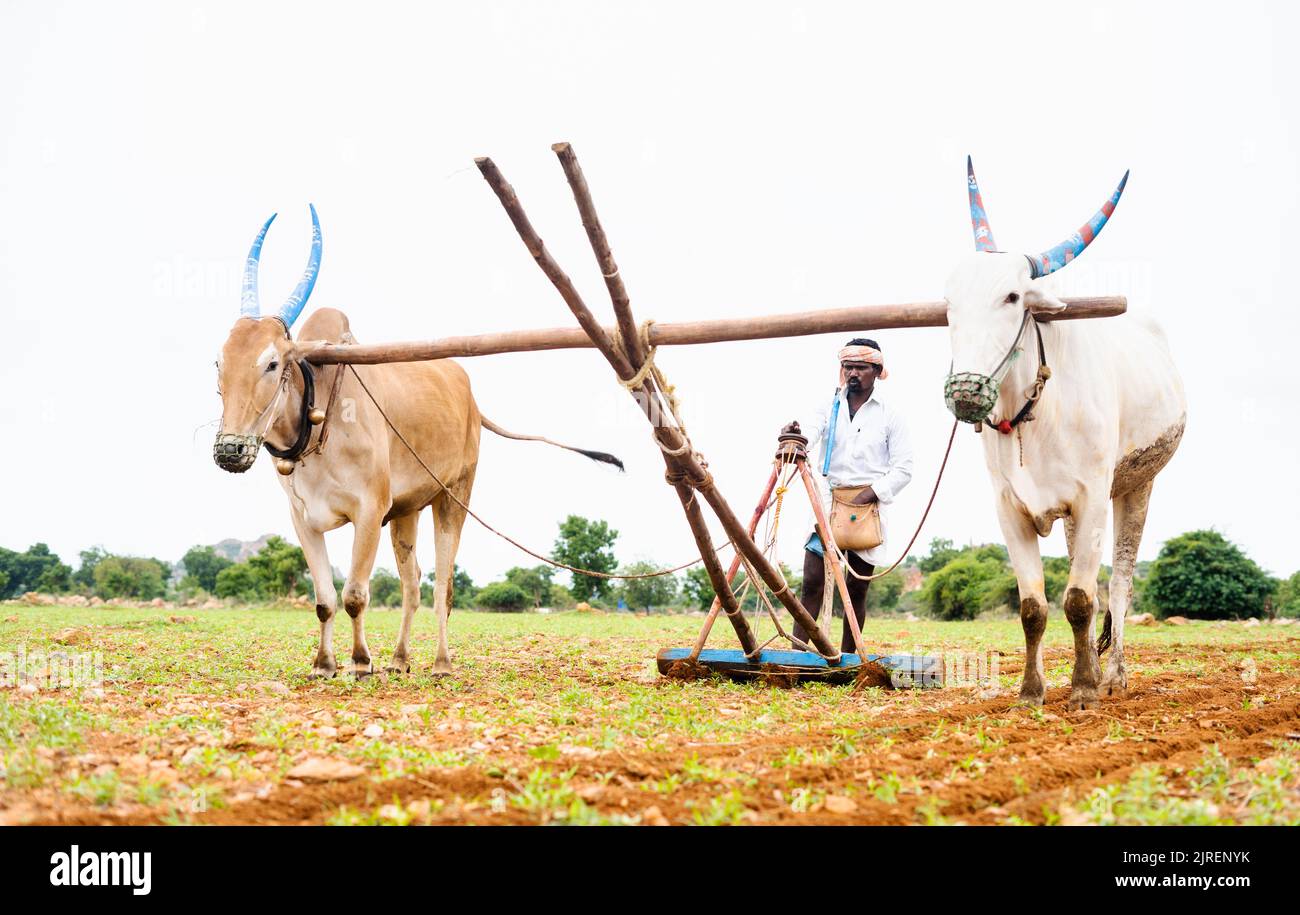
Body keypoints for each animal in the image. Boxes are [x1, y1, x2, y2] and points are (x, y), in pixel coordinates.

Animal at [213, 209, 618, 681]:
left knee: (443, 584)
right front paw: (324, 664)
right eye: (220, 363)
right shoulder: (304, 520)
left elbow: (355, 595)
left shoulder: (369, 512)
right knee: (413, 584)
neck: (321, 418)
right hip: (407, 511)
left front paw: (361, 661)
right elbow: (325, 600)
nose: (229, 450)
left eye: (273, 363)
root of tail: (469, 395)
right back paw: (401, 657)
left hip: (455, 496)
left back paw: (441, 662)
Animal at [946, 161, 1190, 712]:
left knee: (1117, 585)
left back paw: (1112, 676)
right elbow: (1033, 606)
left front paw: (1082, 690)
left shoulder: (1094, 496)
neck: (1034, 417)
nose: (965, 391)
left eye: (1013, 296)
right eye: (949, 302)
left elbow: (1079, 600)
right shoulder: (1009, 507)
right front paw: (1031, 691)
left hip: (1136, 486)